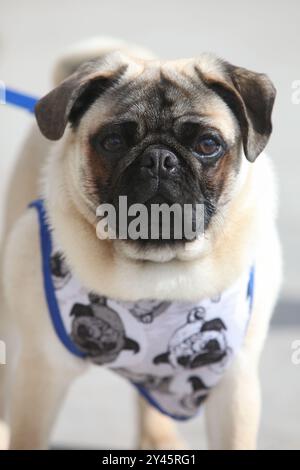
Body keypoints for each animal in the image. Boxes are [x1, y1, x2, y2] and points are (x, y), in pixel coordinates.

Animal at [0, 35, 282, 448]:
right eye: (113, 142)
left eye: (208, 144)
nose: (160, 159)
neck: (157, 271)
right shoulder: (42, 374)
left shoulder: (235, 385)